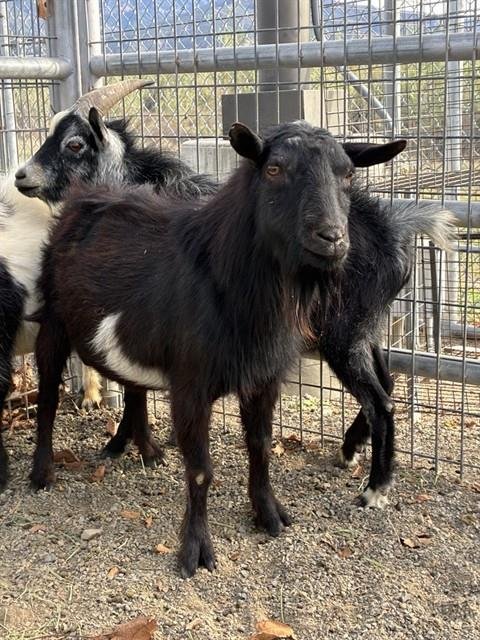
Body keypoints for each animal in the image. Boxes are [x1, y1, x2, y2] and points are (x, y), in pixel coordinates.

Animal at [30, 121, 408, 576]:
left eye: (348, 173)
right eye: (275, 169)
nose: (332, 238)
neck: (220, 273)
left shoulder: (264, 378)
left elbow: (260, 447)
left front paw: (269, 516)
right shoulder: (191, 385)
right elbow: (199, 470)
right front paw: (195, 550)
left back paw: (142, 449)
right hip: (52, 321)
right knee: (48, 396)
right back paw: (42, 473)